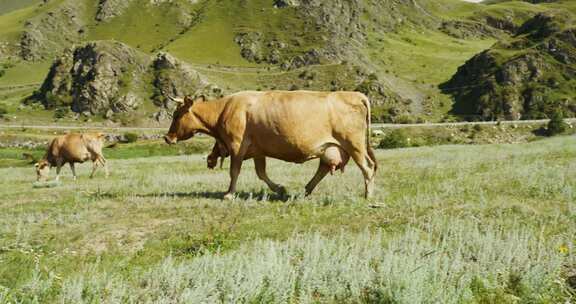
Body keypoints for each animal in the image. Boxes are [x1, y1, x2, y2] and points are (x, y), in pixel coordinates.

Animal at [164, 90, 376, 200]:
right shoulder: (258, 150)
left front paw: (229, 194)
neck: (224, 110)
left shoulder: (237, 146)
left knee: (367, 167)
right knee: (323, 168)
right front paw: (280, 189)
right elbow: (261, 173)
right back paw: (306, 190)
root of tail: (356, 95)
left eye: (176, 115)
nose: (167, 138)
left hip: (354, 144)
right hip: (332, 147)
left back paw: (368, 195)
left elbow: (234, 171)